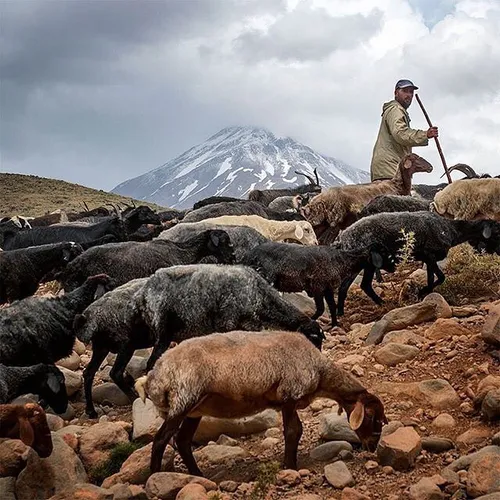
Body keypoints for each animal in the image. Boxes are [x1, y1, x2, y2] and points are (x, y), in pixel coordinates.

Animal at [135, 330, 388, 474]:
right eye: (371, 416)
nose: (373, 445)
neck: (321, 374)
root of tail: (153, 378)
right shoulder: (290, 394)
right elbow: (293, 431)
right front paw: (290, 466)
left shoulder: (287, 400)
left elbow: (295, 430)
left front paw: (289, 463)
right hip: (183, 399)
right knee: (161, 440)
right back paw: (155, 476)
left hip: (195, 410)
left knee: (183, 441)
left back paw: (197, 475)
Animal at [241, 243, 382, 328]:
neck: (343, 261)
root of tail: (249, 255)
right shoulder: (318, 287)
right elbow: (321, 309)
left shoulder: (327, 288)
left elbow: (332, 306)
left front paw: (334, 324)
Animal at [336, 211, 500, 304]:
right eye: (497, 231)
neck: (451, 230)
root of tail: (342, 238)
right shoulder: (429, 255)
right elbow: (441, 277)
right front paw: (422, 292)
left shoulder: (428, 259)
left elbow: (431, 278)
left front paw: (424, 294)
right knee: (357, 286)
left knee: (356, 286)